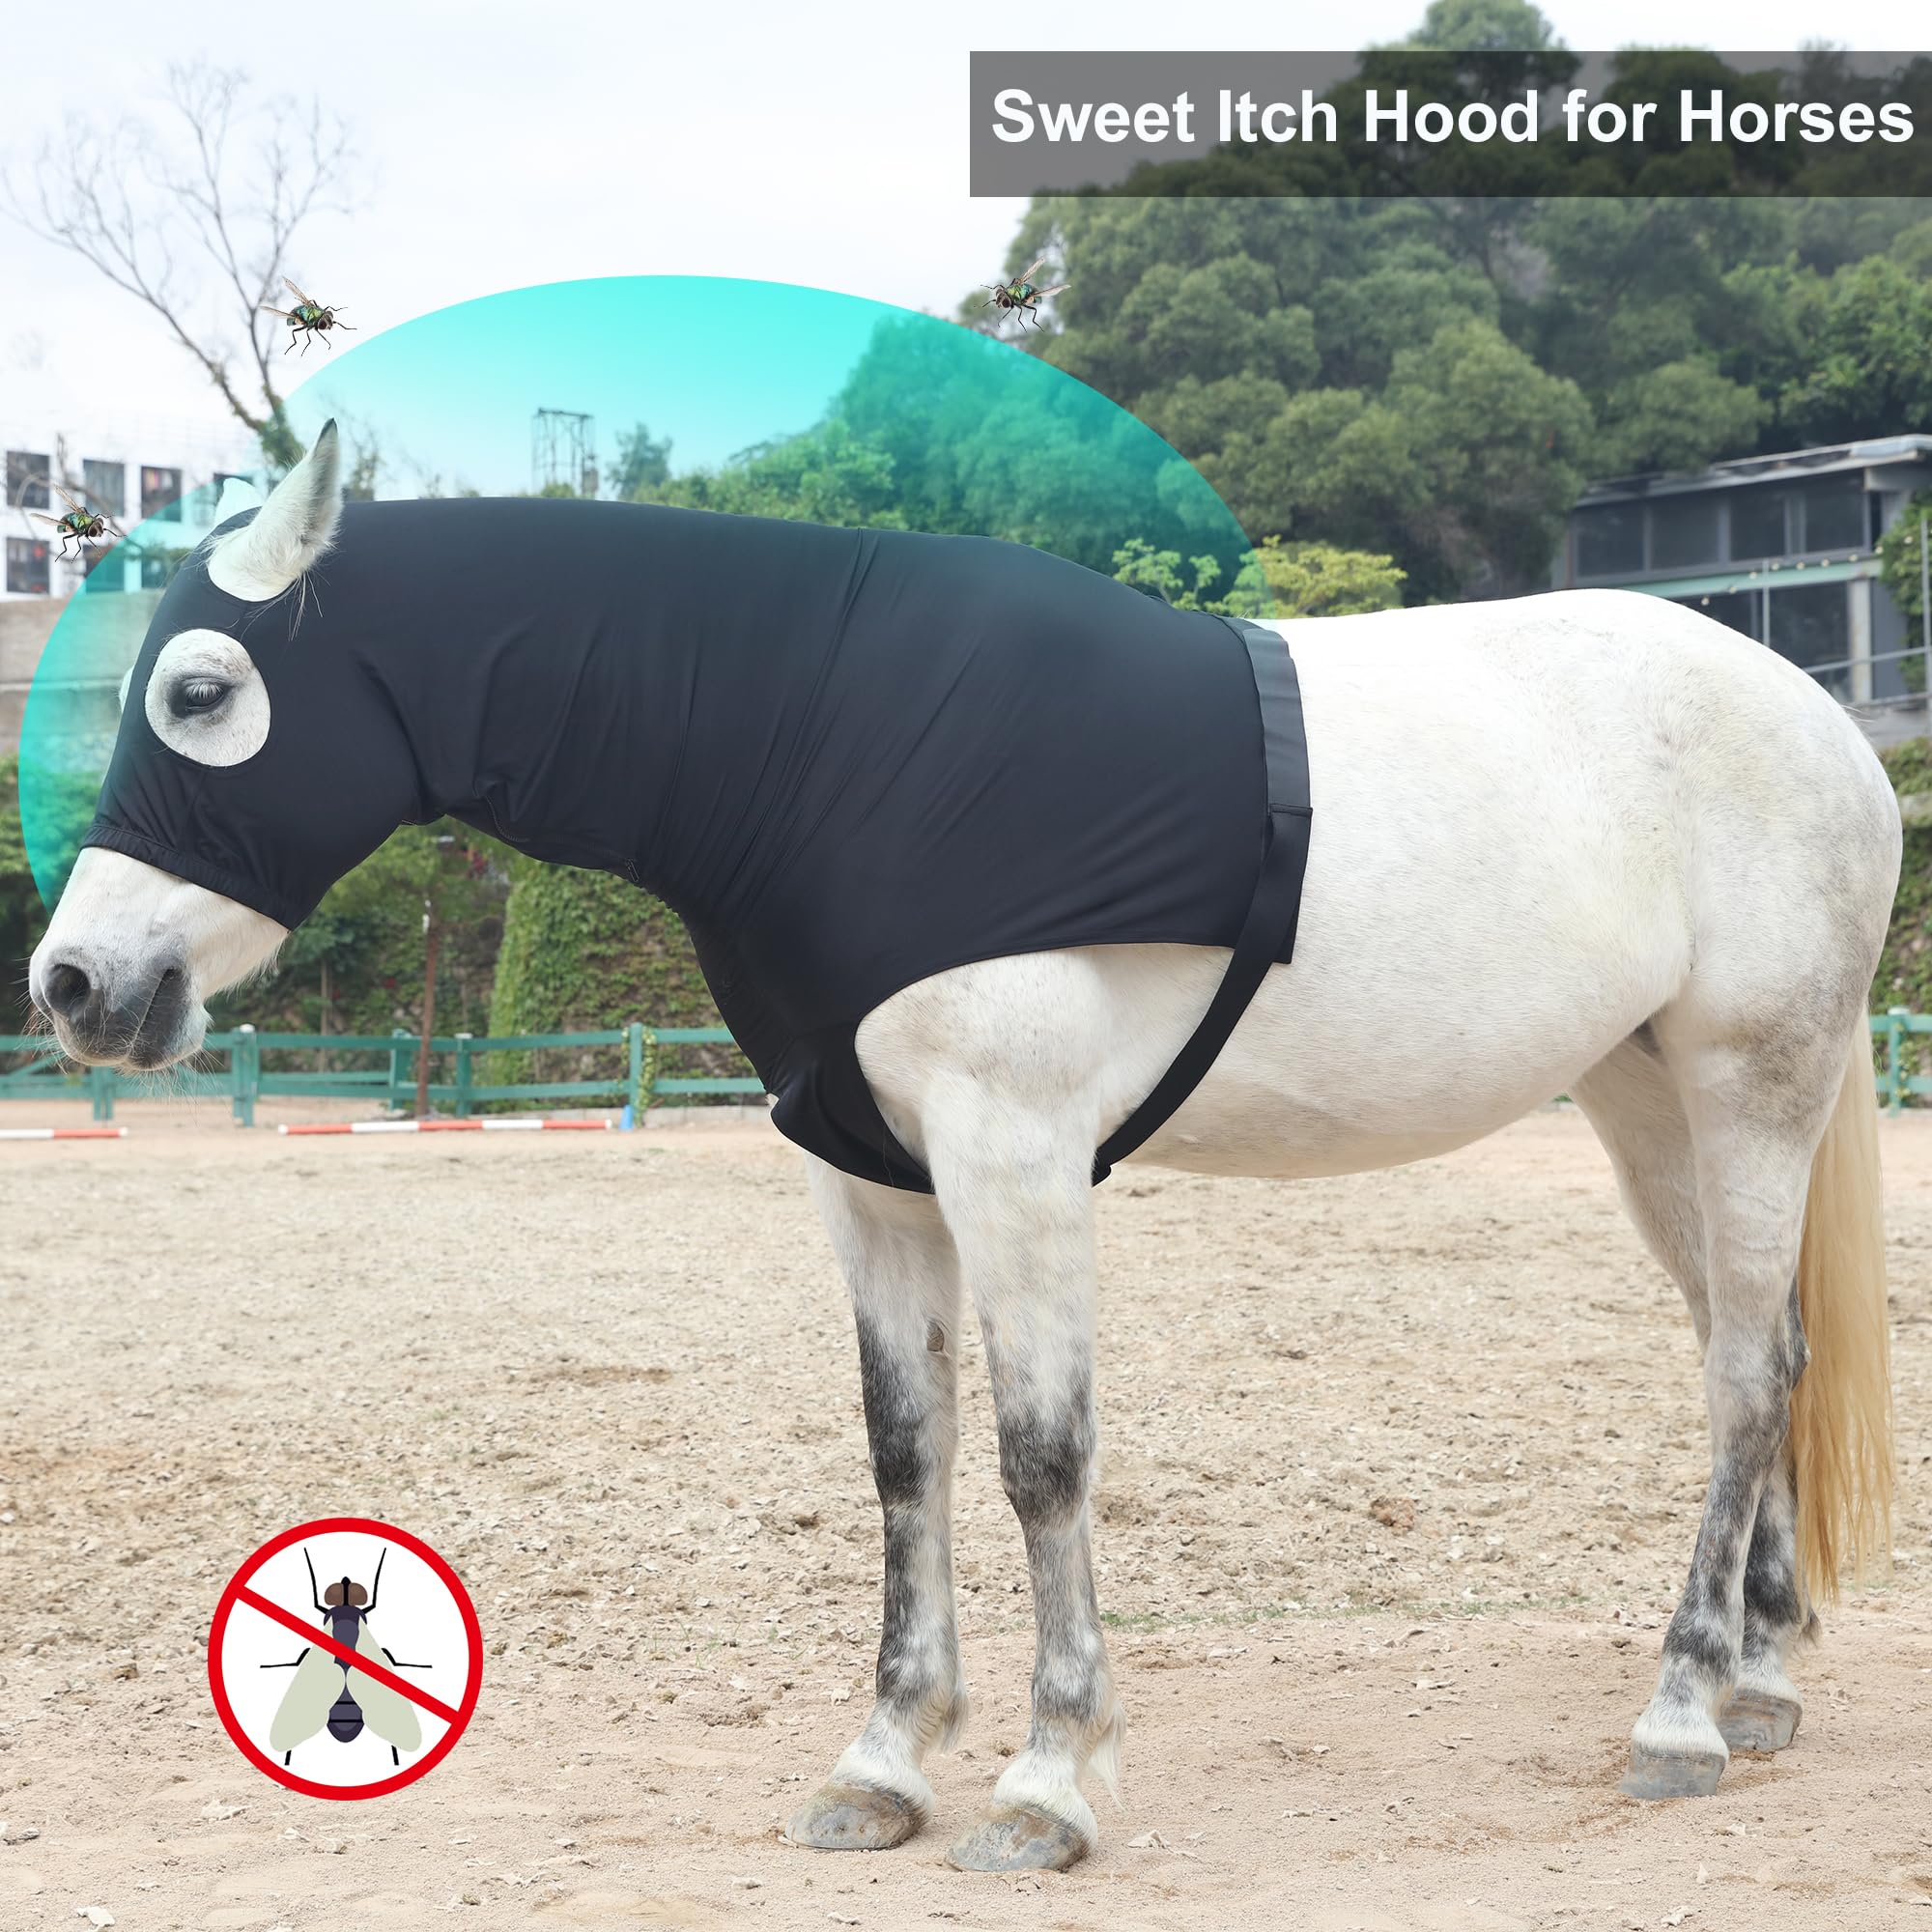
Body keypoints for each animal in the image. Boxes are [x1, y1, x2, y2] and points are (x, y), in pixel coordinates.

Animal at [29, 424, 1898, 1873]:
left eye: (200, 691)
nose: (75, 983)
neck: (826, 739)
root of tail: (1822, 721)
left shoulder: (1017, 1159)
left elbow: (1041, 1458)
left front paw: (1050, 1781)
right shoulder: (871, 1180)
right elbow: (907, 1455)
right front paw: (882, 1760)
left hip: (1753, 1088)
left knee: (1742, 1376)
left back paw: (1680, 1712)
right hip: (1646, 1108)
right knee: (1761, 1351)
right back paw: (1760, 1678)